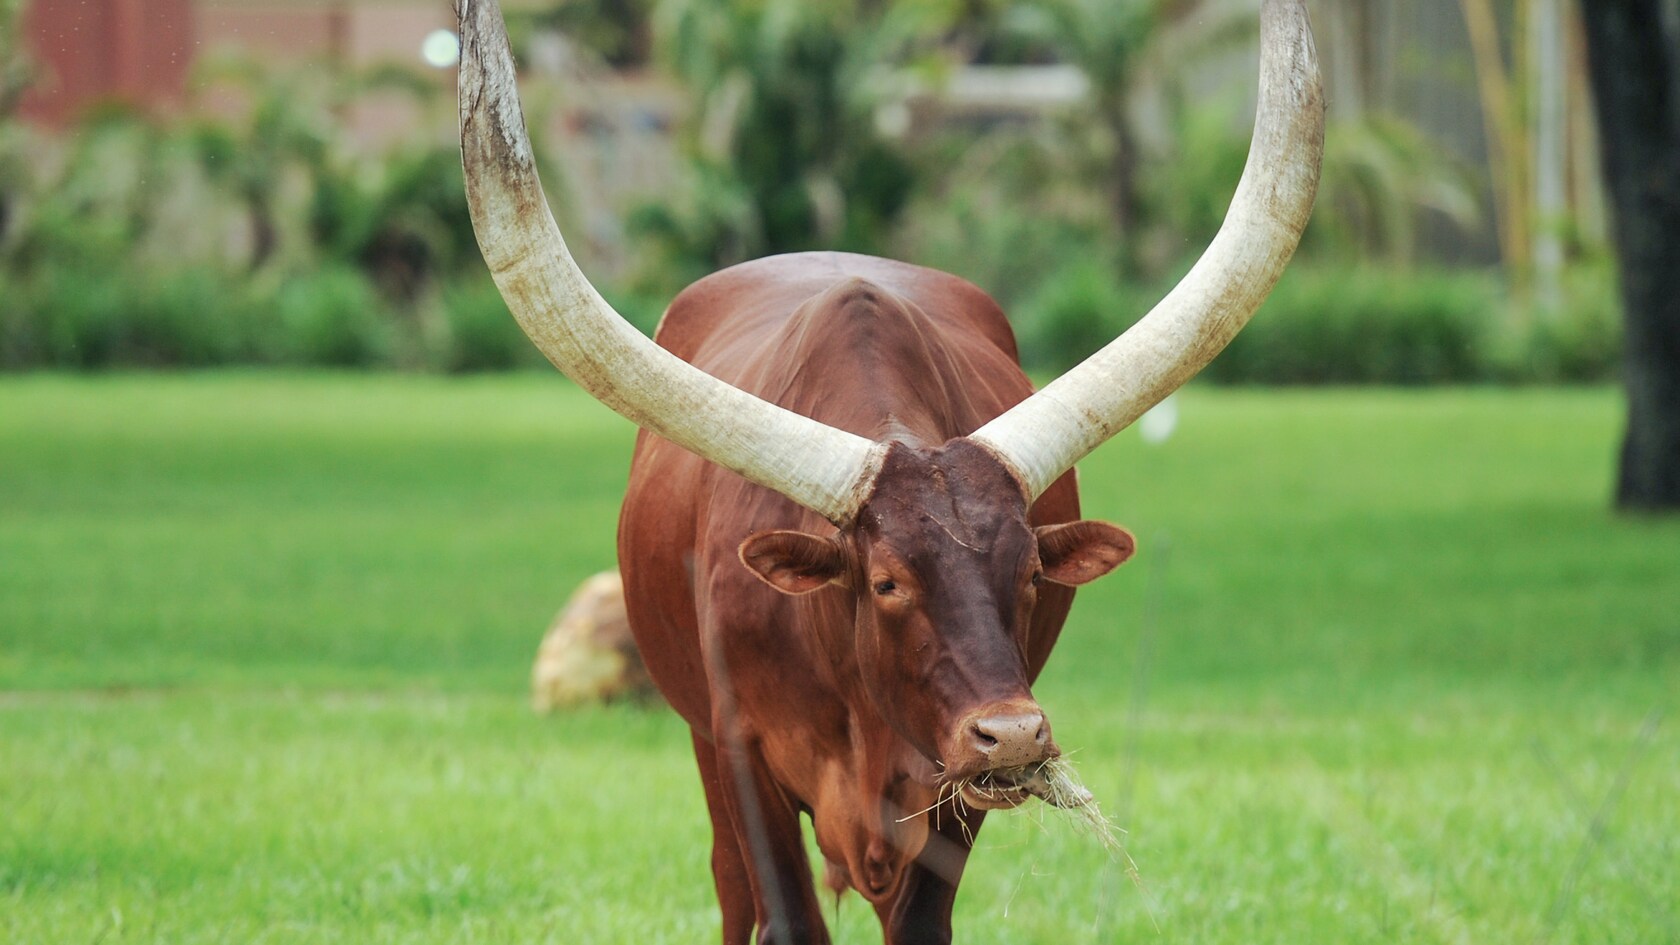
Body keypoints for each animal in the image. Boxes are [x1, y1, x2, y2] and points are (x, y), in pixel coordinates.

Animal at [457, 0, 1323, 941]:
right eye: (885, 582)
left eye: (1030, 573)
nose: (1014, 735)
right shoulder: (742, 751)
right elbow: (786, 911)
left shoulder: (950, 788)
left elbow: (920, 919)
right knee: (731, 888)